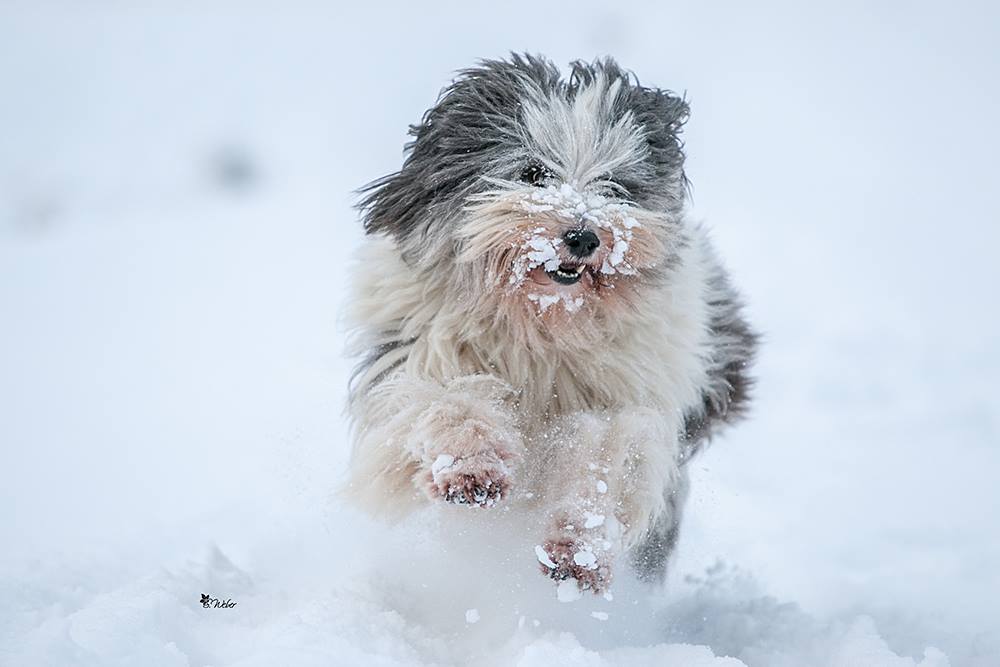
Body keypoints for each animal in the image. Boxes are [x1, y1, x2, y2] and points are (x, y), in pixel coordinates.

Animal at [346, 52, 756, 596]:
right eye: (533, 172)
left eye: (616, 185)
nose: (583, 237)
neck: (544, 323)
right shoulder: (417, 352)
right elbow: (444, 402)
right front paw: (471, 470)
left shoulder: (631, 395)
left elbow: (607, 451)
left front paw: (577, 550)